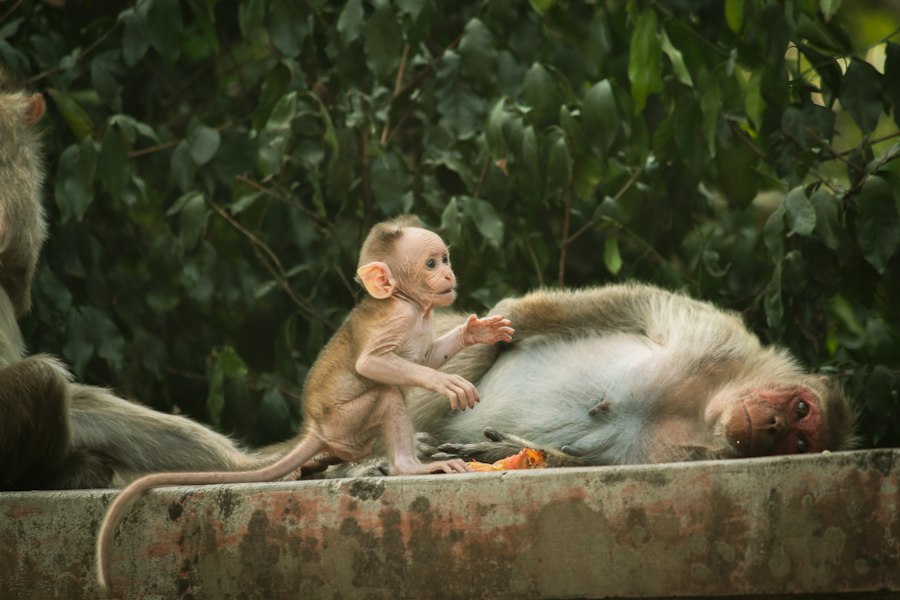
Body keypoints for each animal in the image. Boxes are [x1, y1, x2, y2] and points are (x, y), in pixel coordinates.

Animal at [95, 215, 515, 592]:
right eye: (431, 263)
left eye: (444, 258)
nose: (448, 275)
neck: (405, 300)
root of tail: (316, 428)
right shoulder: (397, 318)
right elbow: (374, 364)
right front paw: (444, 382)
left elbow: (426, 357)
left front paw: (477, 331)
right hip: (345, 420)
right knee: (386, 395)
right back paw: (407, 467)